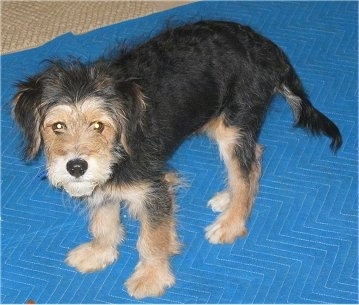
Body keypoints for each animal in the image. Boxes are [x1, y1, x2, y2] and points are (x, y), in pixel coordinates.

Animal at [11, 20, 344, 296]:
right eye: (57, 126)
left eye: (98, 126)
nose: (76, 167)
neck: (120, 149)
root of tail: (266, 45)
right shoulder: (108, 186)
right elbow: (103, 222)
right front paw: (100, 252)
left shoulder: (153, 188)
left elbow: (151, 238)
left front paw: (152, 277)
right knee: (256, 158)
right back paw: (227, 199)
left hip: (234, 126)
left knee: (245, 173)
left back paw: (231, 222)